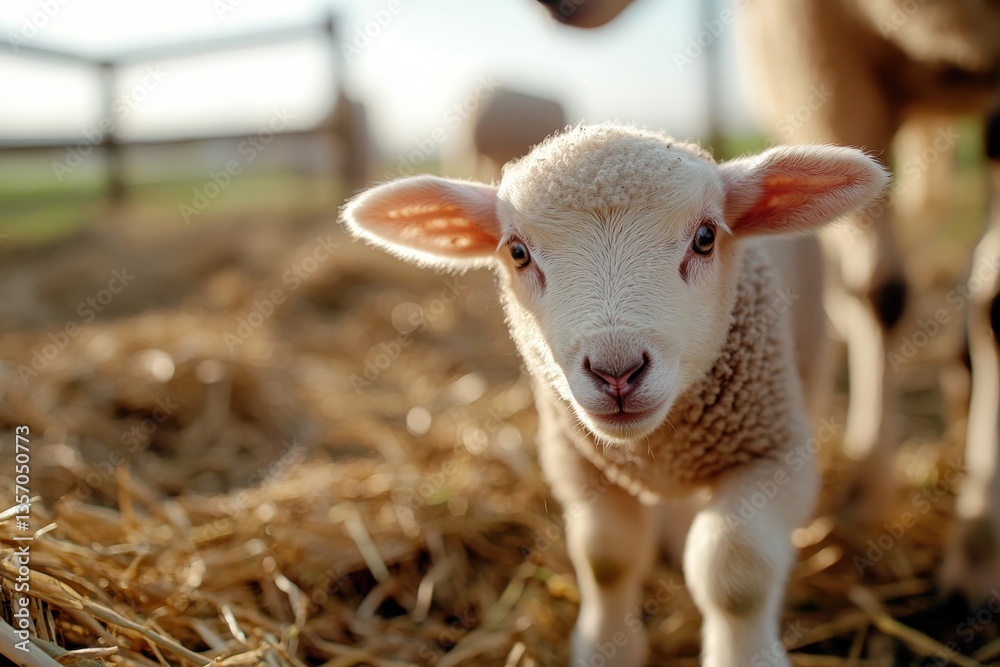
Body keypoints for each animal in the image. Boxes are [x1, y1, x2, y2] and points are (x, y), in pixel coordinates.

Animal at [342, 123, 888, 667]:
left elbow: (735, 574)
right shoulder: (581, 463)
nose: (617, 372)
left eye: (706, 238)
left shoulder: (775, 454)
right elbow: (606, 559)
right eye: (517, 253)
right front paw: (608, 649)